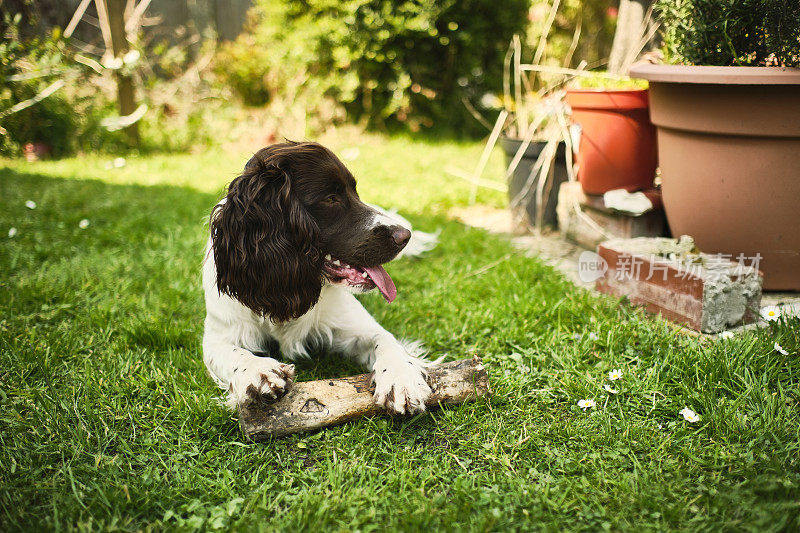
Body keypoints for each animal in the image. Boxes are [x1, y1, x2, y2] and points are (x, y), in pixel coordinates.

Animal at [202, 143, 438, 414]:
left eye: (355, 192)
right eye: (331, 198)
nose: (404, 236)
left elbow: (387, 341)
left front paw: (401, 379)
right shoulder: (218, 333)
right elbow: (231, 353)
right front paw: (258, 371)